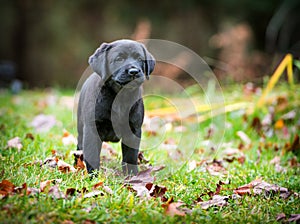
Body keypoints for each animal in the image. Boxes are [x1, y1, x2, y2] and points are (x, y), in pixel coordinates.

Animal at [76, 39, 156, 175]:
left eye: (140, 59)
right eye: (119, 59)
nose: (134, 71)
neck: (121, 96)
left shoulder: (133, 129)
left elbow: (130, 155)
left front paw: (132, 175)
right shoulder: (92, 128)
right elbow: (92, 154)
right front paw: (93, 176)